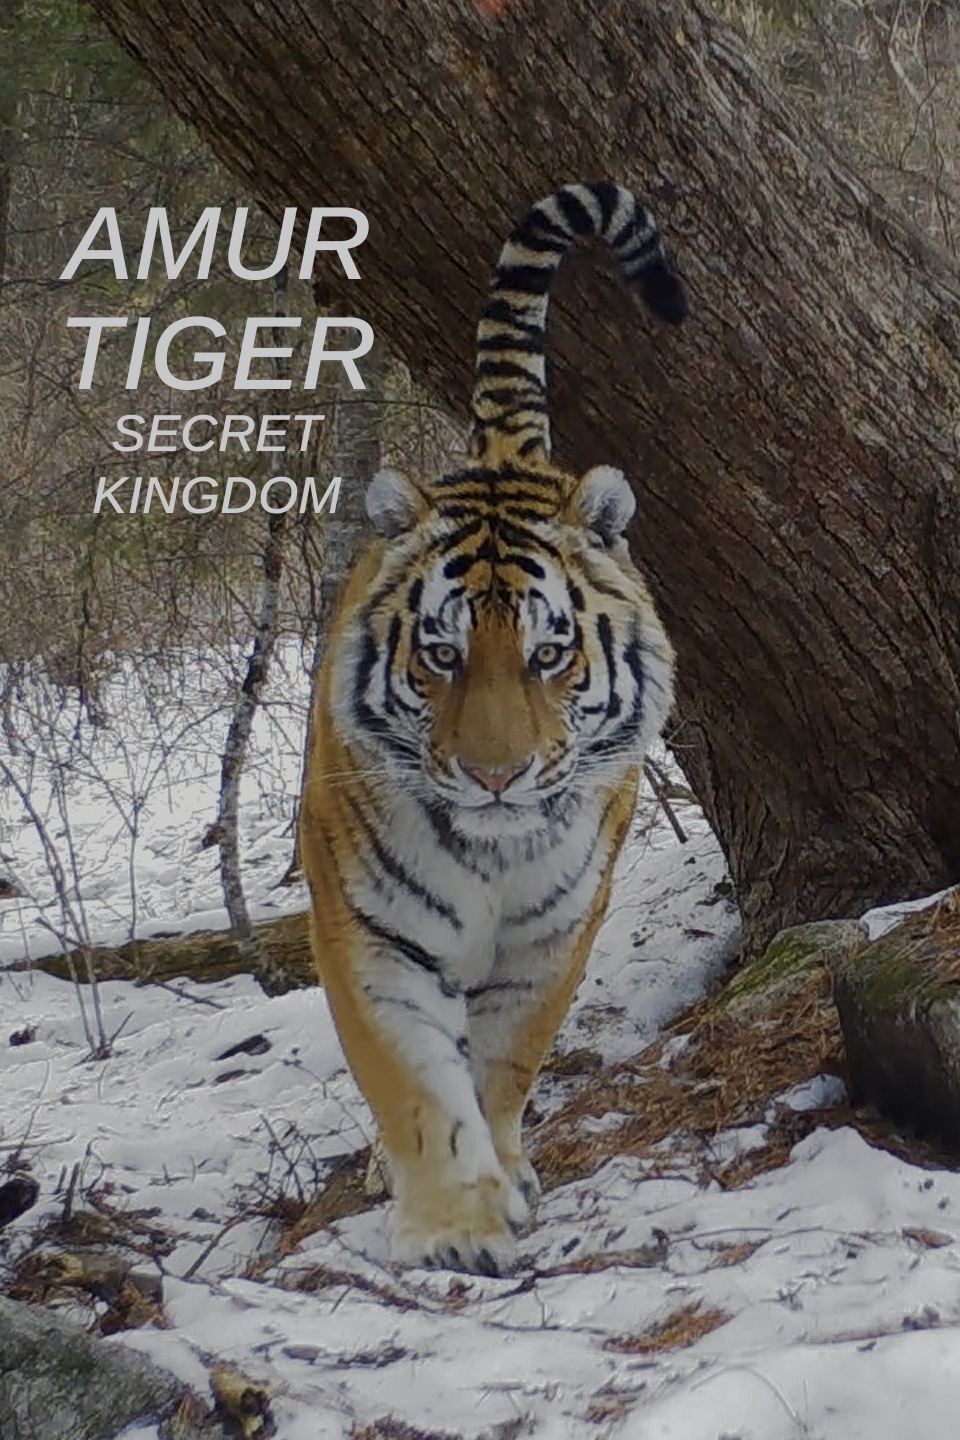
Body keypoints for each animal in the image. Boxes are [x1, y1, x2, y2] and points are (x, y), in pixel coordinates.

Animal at [300, 180, 686, 1275]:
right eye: (441, 654)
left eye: (550, 655)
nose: (497, 777)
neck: (492, 851)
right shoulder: (371, 930)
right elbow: (414, 1082)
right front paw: (453, 1223)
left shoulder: (552, 935)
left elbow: (505, 1066)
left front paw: (503, 1178)